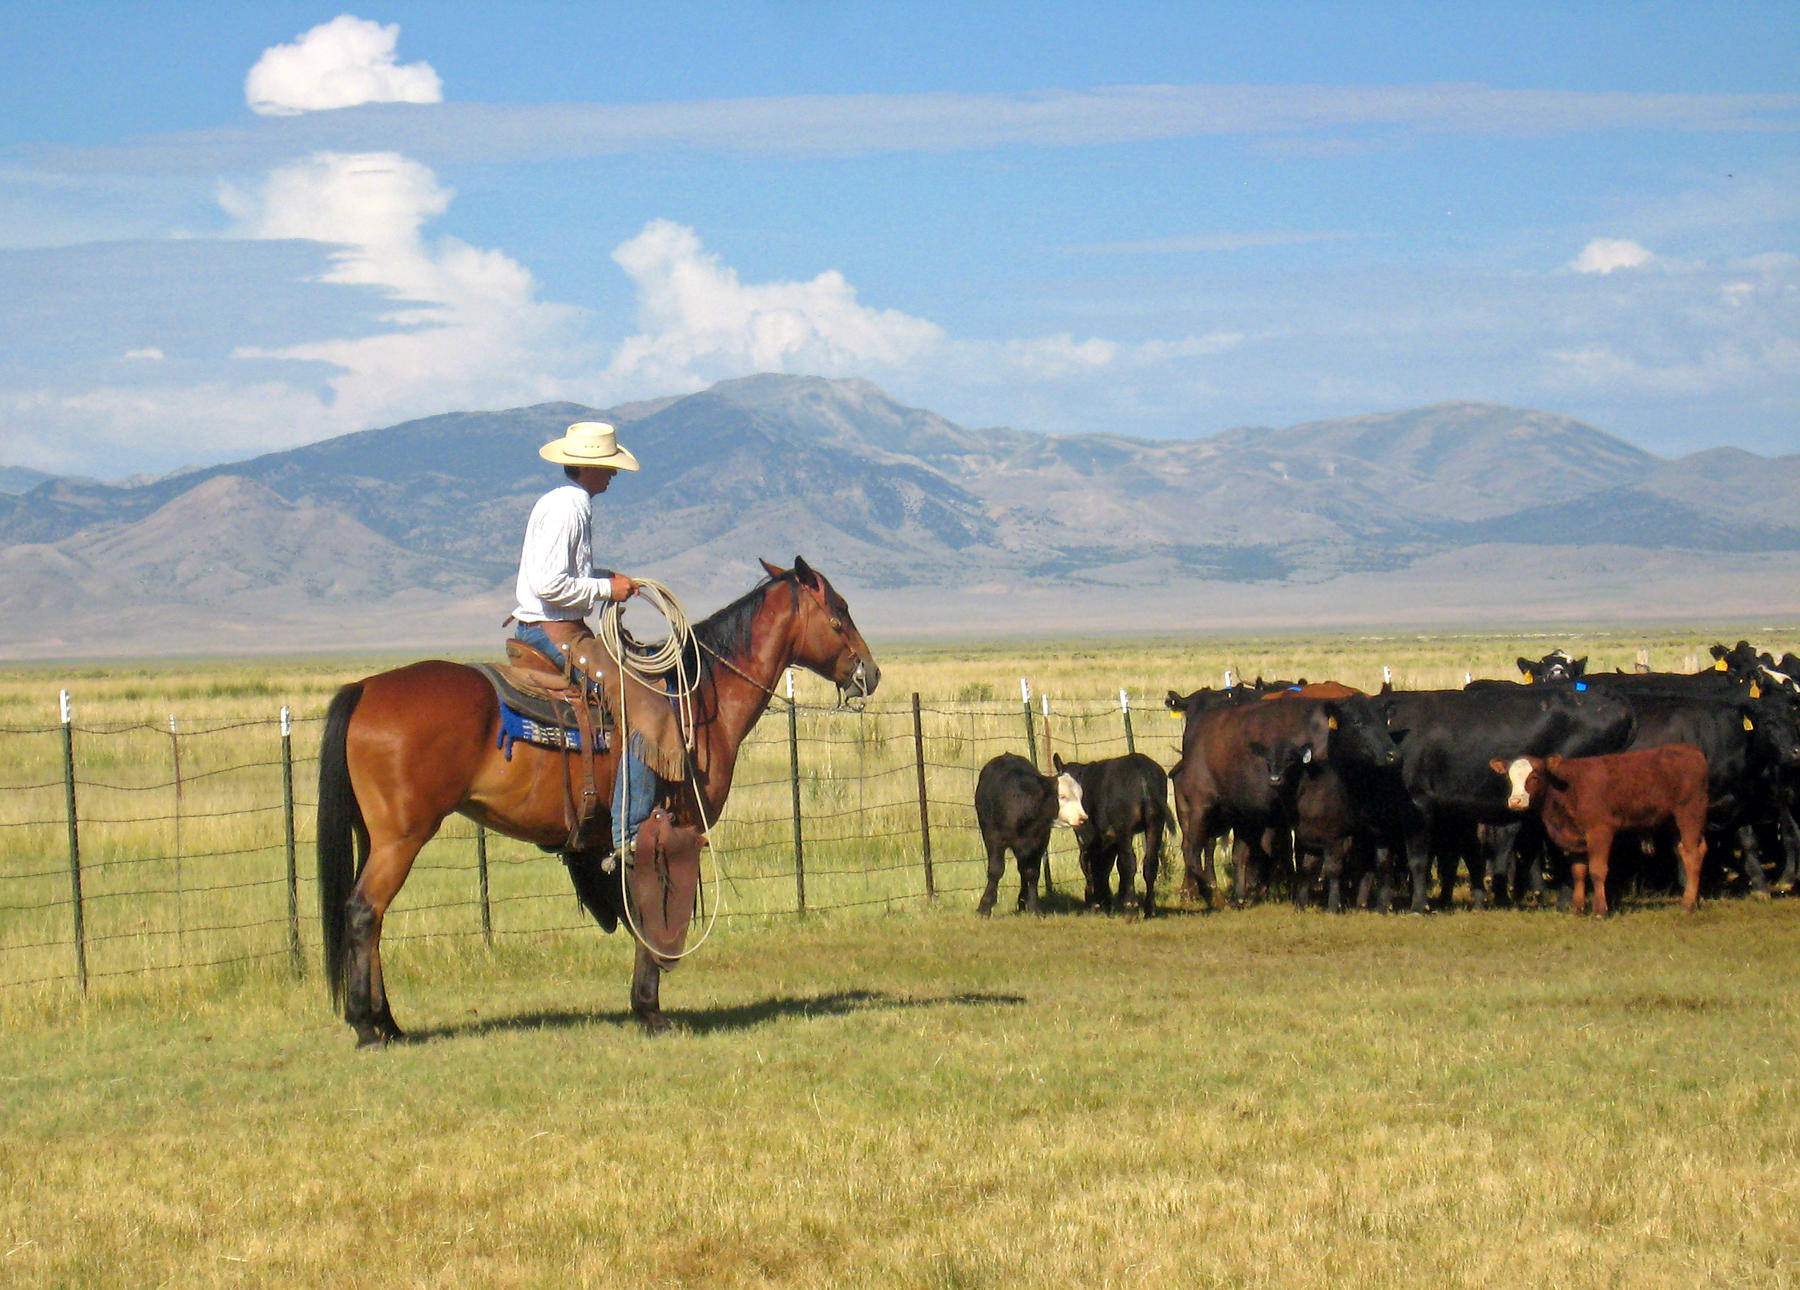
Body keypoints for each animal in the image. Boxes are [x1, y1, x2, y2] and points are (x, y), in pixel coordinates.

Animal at [316, 557, 878, 1043]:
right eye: (839, 610)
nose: (869, 673)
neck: (698, 700)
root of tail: (364, 687)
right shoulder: (670, 828)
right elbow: (649, 909)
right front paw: (650, 1011)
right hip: (402, 837)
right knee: (365, 911)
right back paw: (367, 1025)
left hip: (376, 837)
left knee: (372, 915)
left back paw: (388, 1023)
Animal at [979, 748, 1087, 921]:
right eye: (1062, 796)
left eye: (1080, 796)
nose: (1083, 818)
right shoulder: (994, 838)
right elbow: (996, 870)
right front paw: (984, 907)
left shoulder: (1039, 841)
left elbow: (1031, 873)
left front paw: (1033, 908)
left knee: (1023, 868)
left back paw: (1022, 901)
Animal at [1051, 755, 1173, 917]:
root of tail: (1141, 767)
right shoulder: (1109, 839)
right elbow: (1108, 865)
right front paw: (1107, 900)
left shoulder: (1087, 836)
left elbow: (1090, 864)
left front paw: (1096, 902)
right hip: (1155, 823)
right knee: (1150, 862)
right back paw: (1149, 909)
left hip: (1124, 827)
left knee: (1129, 862)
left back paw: (1130, 906)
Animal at [1490, 741, 1713, 910]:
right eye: (1509, 778)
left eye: (1534, 776)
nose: (1515, 801)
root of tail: (1691, 750)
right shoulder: (1574, 836)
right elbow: (1578, 871)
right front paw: (1578, 908)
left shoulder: (1600, 830)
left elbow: (1597, 870)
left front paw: (1600, 909)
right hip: (1673, 821)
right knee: (1689, 850)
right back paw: (1690, 900)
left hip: (1690, 812)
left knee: (1693, 853)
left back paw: (1687, 905)